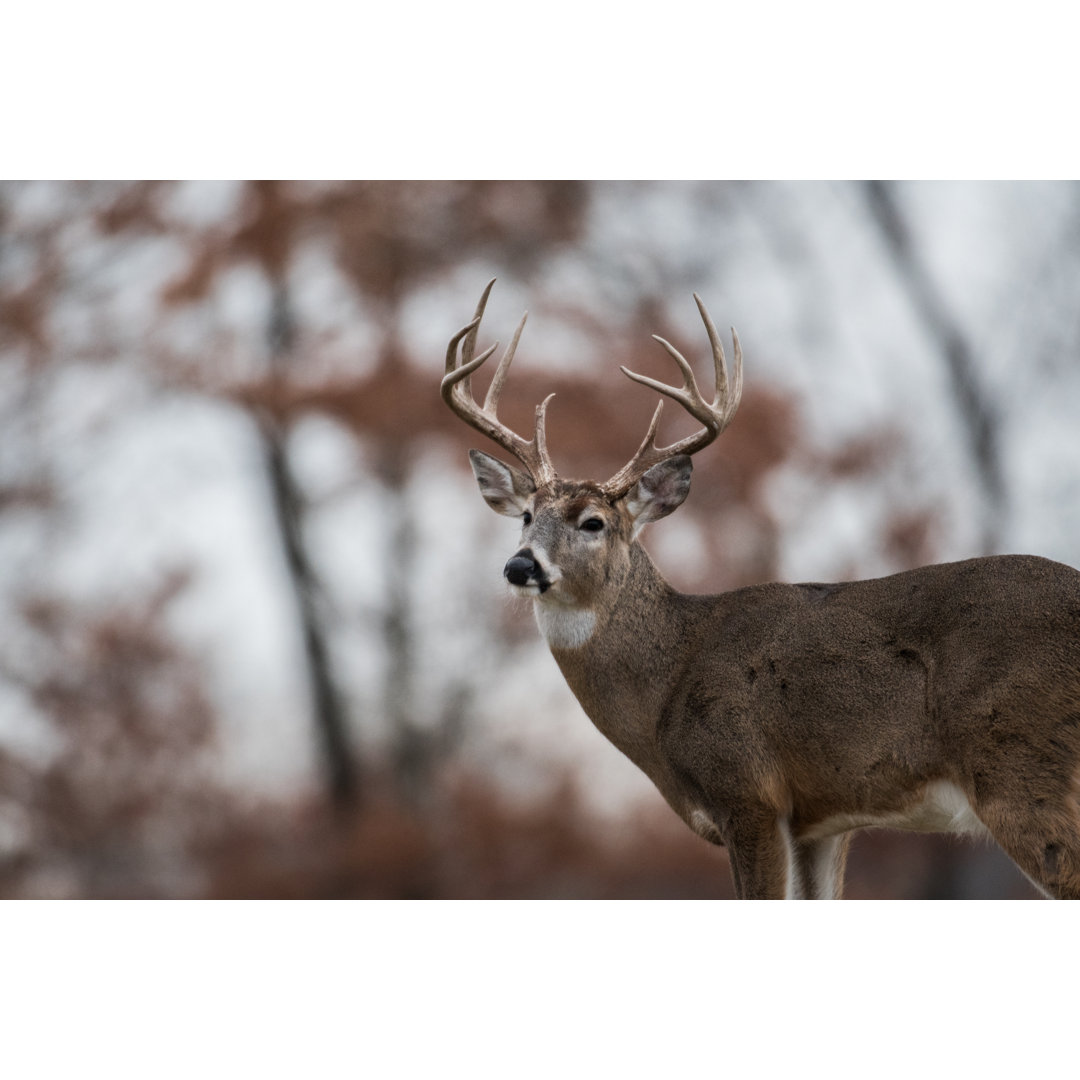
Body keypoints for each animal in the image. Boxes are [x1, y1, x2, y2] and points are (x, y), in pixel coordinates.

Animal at [441, 279, 1080, 899]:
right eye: (526, 515)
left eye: (593, 522)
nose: (520, 566)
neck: (669, 680)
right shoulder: (824, 819)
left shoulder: (748, 793)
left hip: (1021, 767)